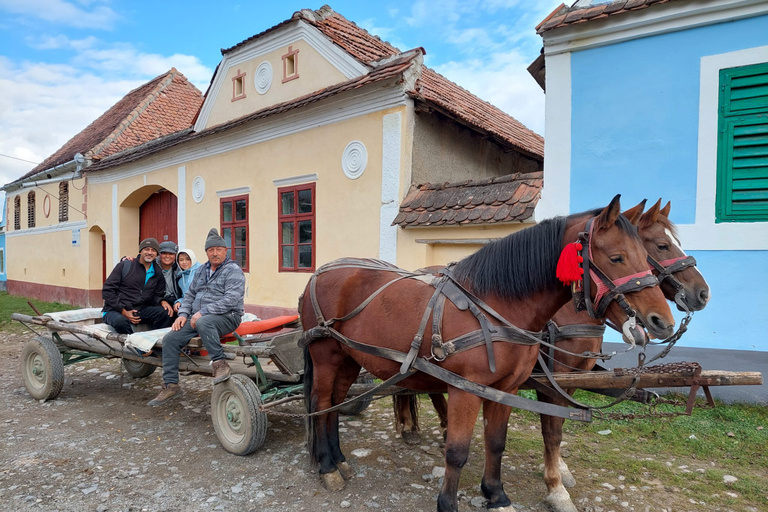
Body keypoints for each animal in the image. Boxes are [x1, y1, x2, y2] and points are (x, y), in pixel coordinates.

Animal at [300, 195, 672, 512]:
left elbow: (496, 443)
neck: (494, 306)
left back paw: (339, 460)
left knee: (336, 403)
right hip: (325, 356)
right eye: (617, 257)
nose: (661, 321)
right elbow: (457, 451)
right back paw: (327, 466)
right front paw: (448, 503)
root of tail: (317, 275)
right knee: (321, 403)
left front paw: (496, 495)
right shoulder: (466, 389)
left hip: (349, 358)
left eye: (646, 255)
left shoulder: (505, 389)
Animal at [392, 200, 712, 512]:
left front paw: (559, 470)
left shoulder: (572, 378)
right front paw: (555, 487)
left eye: (650, 253)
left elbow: (556, 428)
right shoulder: (551, 380)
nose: (702, 294)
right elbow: (551, 431)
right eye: (661, 246)